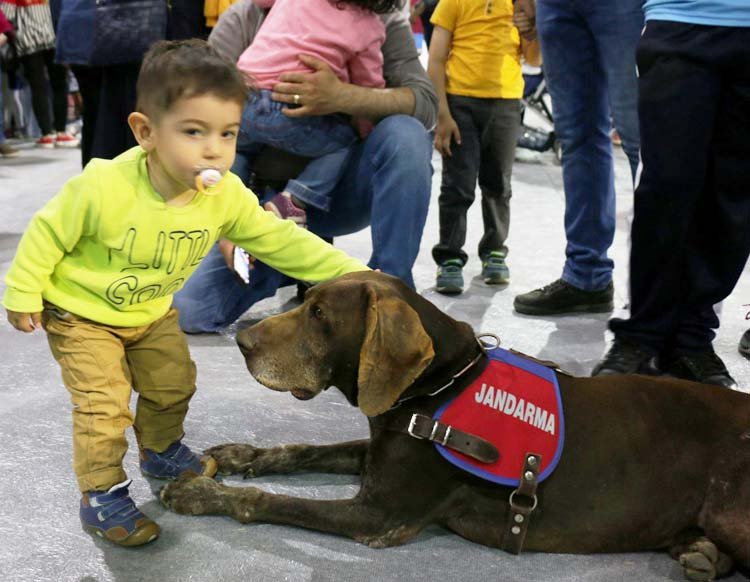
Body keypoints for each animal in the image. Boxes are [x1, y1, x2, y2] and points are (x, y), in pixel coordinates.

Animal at [163, 274, 750, 582]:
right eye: (304, 301)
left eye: (321, 316)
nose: (243, 343)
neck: (439, 386)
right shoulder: (381, 448)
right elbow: (302, 448)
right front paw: (242, 455)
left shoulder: (380, 515)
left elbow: (270, 501)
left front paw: (201, 492)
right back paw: (700, 554)